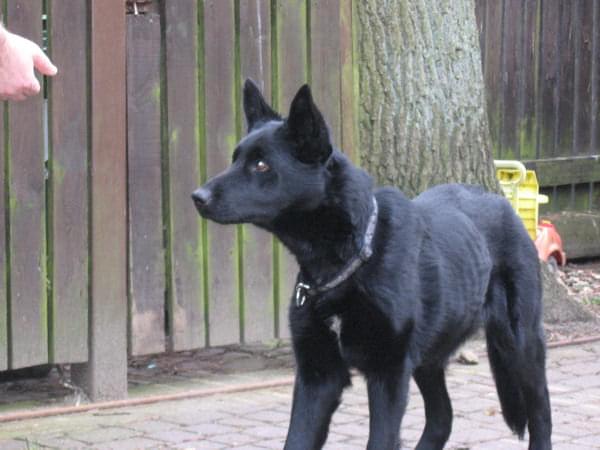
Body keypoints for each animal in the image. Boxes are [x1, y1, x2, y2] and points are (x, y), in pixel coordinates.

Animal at [192, 80, 552, 450]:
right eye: (235, 159)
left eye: (262, 165)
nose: (197, 197)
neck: (349, 258)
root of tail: (502, 203)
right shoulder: (318, 376)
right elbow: (297, 439)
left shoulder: (388, 374)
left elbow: (380, 439)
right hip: (428, 359)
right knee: (442, 417)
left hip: (519, 344)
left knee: (540, 412)